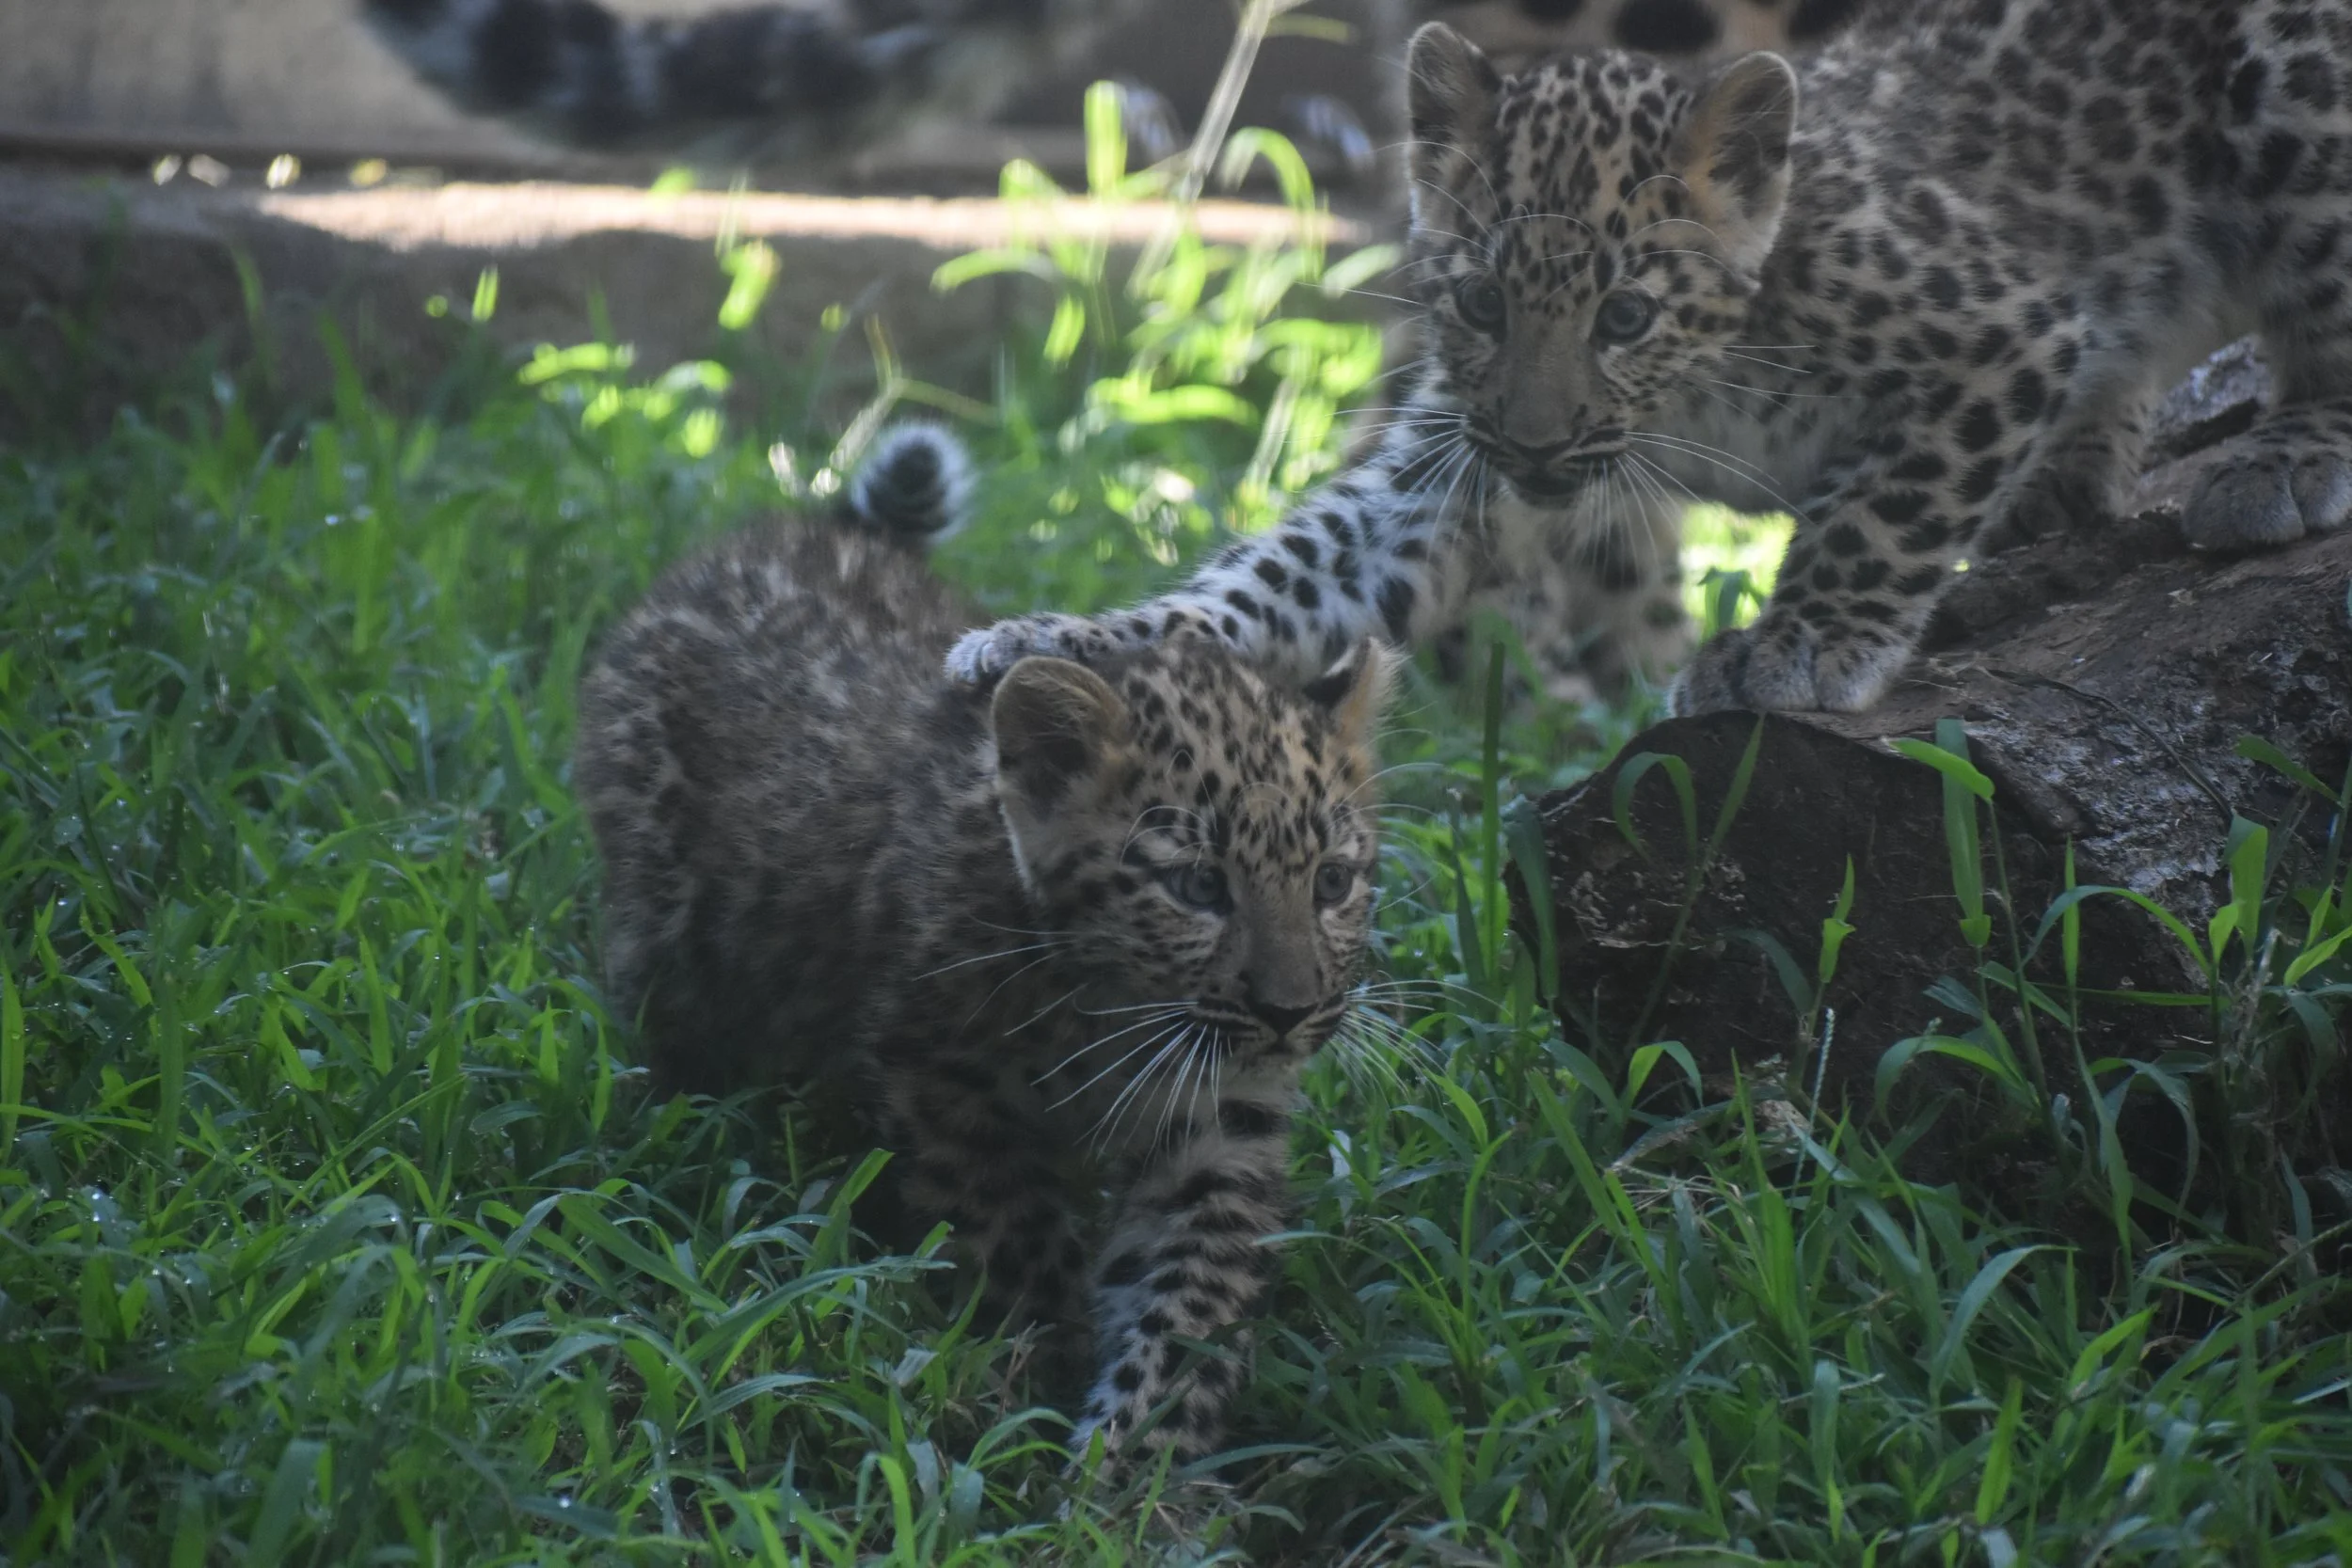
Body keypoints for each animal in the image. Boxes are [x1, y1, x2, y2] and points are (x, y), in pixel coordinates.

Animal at [571, 423, 1393, 1469]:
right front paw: (1035, 1388)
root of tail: (808, 533)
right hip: (664, 919)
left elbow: (1188, 1296)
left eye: (1332, 882)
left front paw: (1134, 1468)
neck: (1110, 1008)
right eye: (1198, 887)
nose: (1289, 1014)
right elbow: (1016, 1234)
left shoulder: (1220, 1118)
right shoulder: (940, 1075)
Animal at [946, 0, 2352, 717]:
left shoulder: (1995, 332)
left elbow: (1879, 512)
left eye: (1624, 316)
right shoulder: (1440, 483)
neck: (1701, 394)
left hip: (2298, 89)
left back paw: (2276, 461)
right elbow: (1277, 579)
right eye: (1479, 301)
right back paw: (2064, 486)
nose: (1534, 440)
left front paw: (1799, 643)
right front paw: (1055, 641)